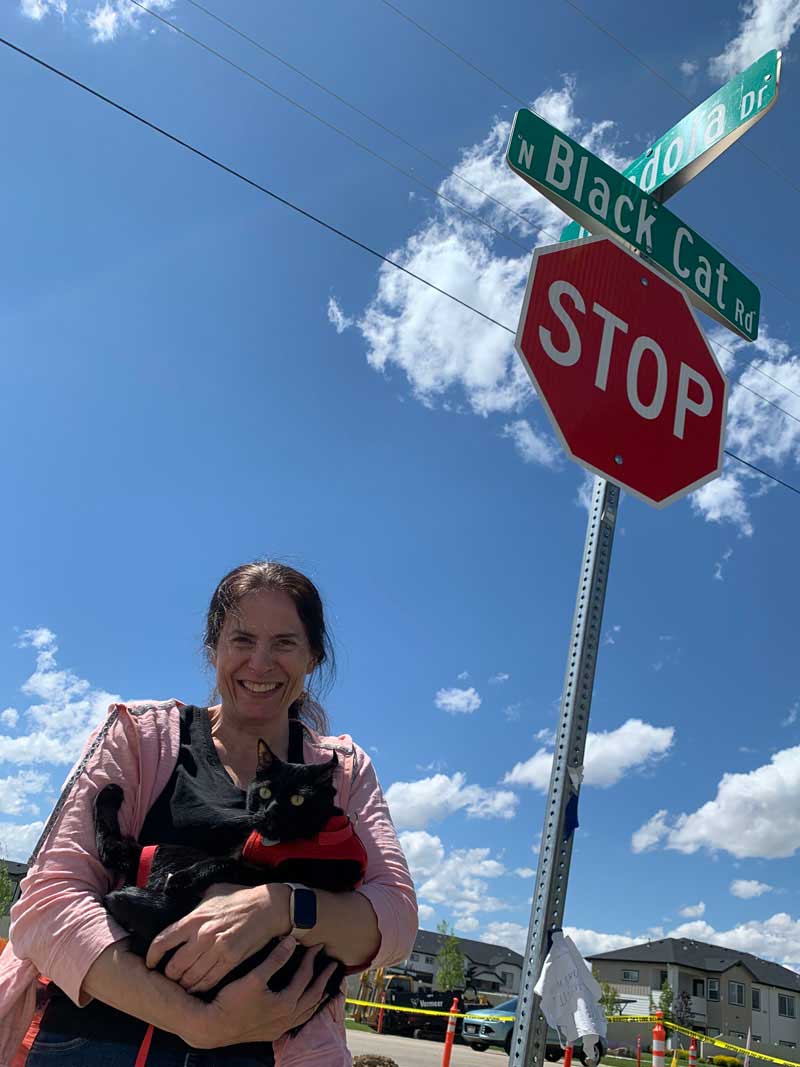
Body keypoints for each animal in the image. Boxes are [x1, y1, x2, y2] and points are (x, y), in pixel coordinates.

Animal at [93, 738, 366, 1028]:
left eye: (298, 800)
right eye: (265, 792)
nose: (270, 812)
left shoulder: (273, 875)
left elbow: (225, 865)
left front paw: (184, 879)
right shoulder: (243, 854)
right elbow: (228, 860)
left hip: (169, 853)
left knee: (117, 852)